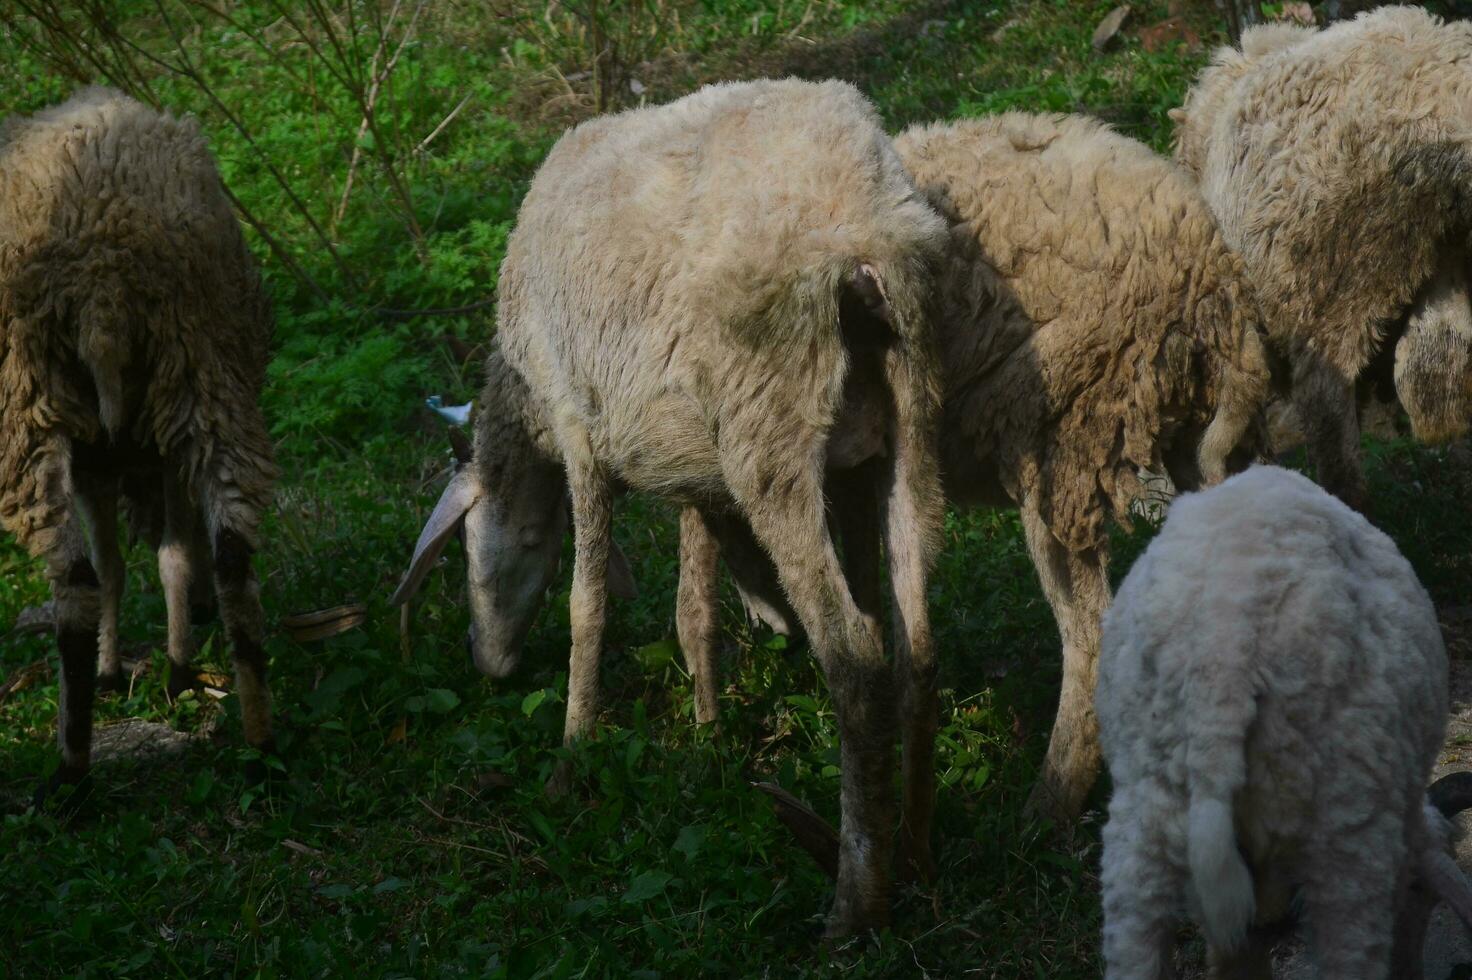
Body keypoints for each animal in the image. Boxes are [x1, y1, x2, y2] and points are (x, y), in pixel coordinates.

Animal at [0, 85, 278, 794]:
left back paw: (72, 765)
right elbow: (173, 552)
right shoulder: (146, 450)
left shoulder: (98, 462)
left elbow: (117, 565)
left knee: (75, 583)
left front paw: (112, 668)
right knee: (233, 559)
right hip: (205, 371)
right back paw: (256, 735)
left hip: (29, 409)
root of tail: (102, 279)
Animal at [391, 78, 947, 929]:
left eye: (473, 547)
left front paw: (572, 760)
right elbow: (695, 608)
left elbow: (587, 608)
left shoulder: (580, 433)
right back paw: (913, 854)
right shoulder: (697, 473)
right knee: (916, 648)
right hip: (909, 424)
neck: (522, 398)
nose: (487, 665)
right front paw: (708, 732)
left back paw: (855, 905)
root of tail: (864, 229)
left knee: (855, 660)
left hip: (771, 436)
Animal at [674, 108, 1271, 824]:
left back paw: (1046, 807)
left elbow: (693, 592)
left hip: (1064, 439)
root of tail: (1216, 277)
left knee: (1092, 632)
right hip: (1191, 445)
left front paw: (708, 733)